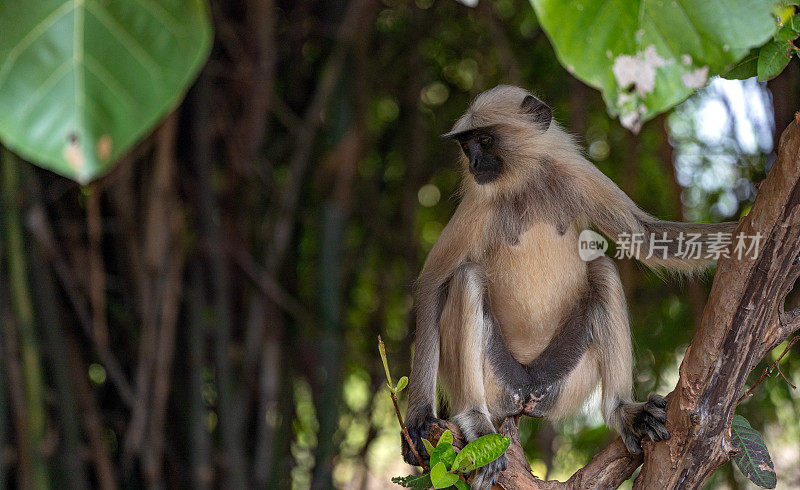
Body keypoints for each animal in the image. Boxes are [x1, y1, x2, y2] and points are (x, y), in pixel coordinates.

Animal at [400, 86, 736, 488]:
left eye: (485, 140)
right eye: (467, 146)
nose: (475, 163)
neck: (526, 182)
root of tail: (526, 389)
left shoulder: (575, 175)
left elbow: (645, 236)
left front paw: (749, 229)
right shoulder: (479, 202)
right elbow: (433, 282)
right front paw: (419, 417)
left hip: (561, 379)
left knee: (603, 270)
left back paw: (623, 410)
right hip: (498, 381)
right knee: (467, 278)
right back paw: (476, 421)